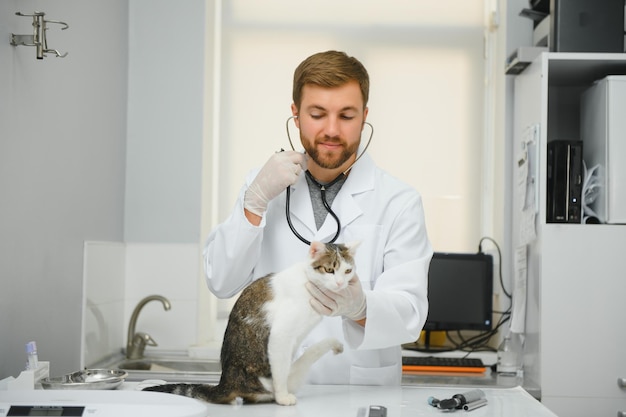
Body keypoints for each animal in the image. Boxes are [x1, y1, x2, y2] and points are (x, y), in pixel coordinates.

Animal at [141, 239, 356, 404]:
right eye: (329, 270)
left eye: (348, 271)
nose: (340, 283)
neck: (308, 282)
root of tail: (225, 381)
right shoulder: (281, 335)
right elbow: (280, 369)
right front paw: (282, 397)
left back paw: (335, 344)